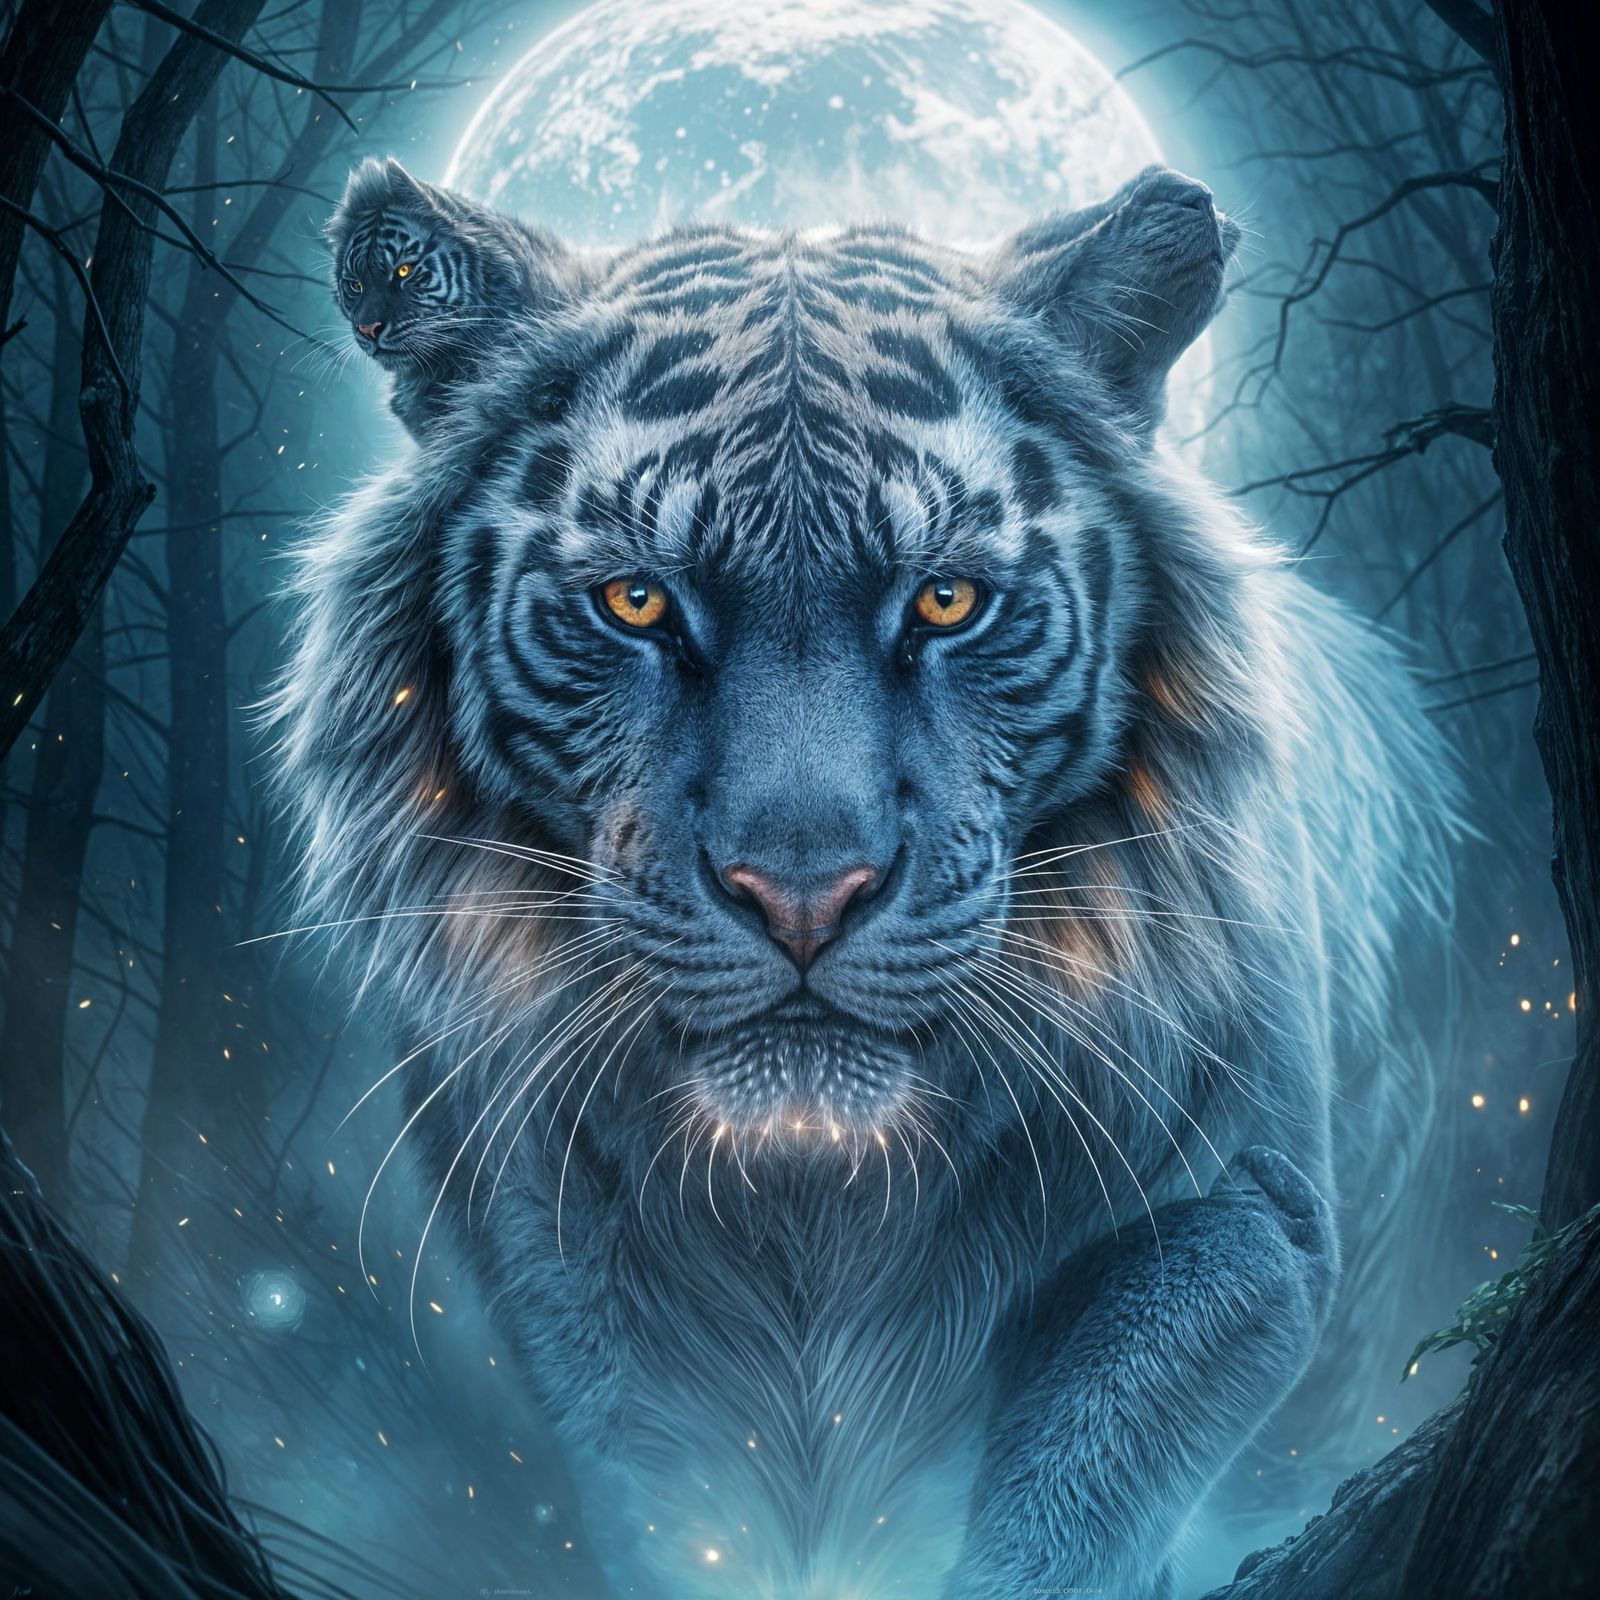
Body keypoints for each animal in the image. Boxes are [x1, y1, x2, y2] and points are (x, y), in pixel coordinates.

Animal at [276, 164, 1454, 1599]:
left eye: (946, 602)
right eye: (635, 602)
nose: (803, 896)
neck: (816, 1201)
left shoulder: (1250, 1211)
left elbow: (1085, 1461)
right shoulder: (564, 1285)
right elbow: (673, 1501)